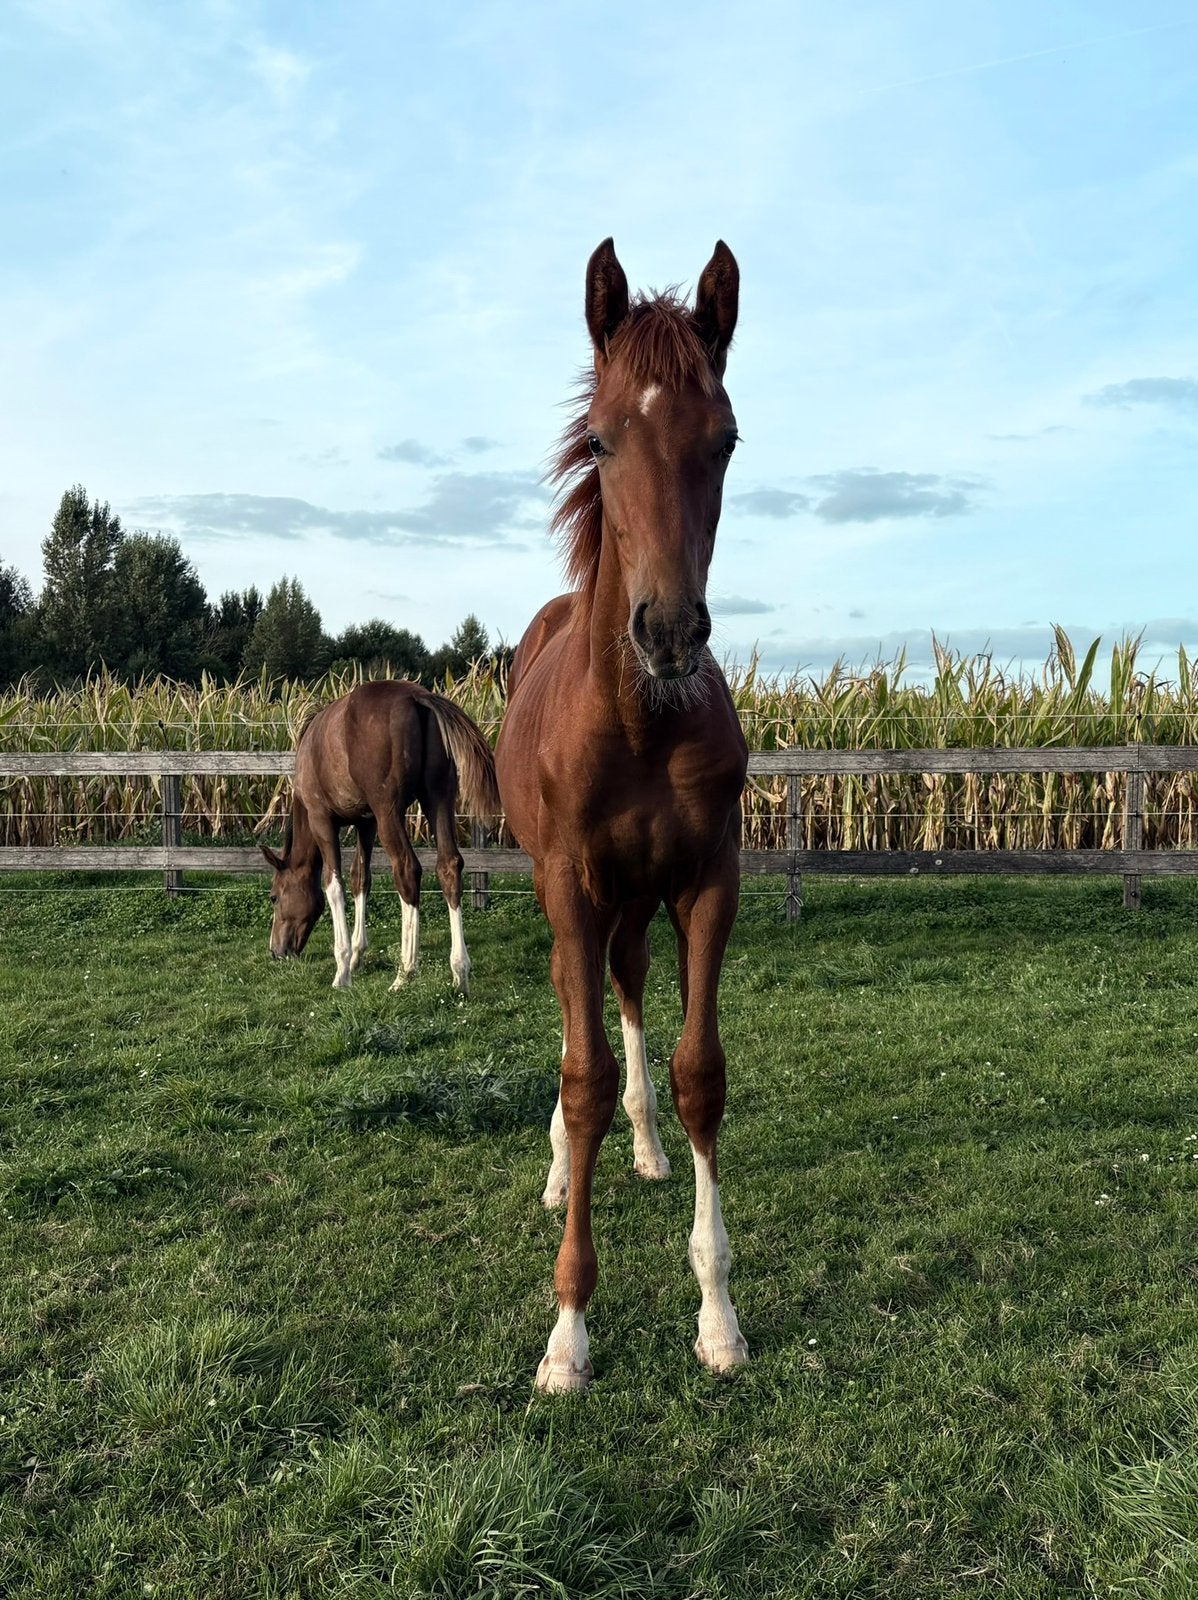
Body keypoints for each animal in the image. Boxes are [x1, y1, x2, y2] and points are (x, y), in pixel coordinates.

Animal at [262, 679, 499, 995]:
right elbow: (360, 879)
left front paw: (342, 969)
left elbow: (333, 884)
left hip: (390, 813)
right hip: (438, 799)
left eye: (274, 897)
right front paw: (356, 958)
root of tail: (417, 696)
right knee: (449, 866)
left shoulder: (323, 821)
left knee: (407, 870)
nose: (276, 951)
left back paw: (405, 972)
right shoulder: (366, 823)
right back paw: (459, 971)